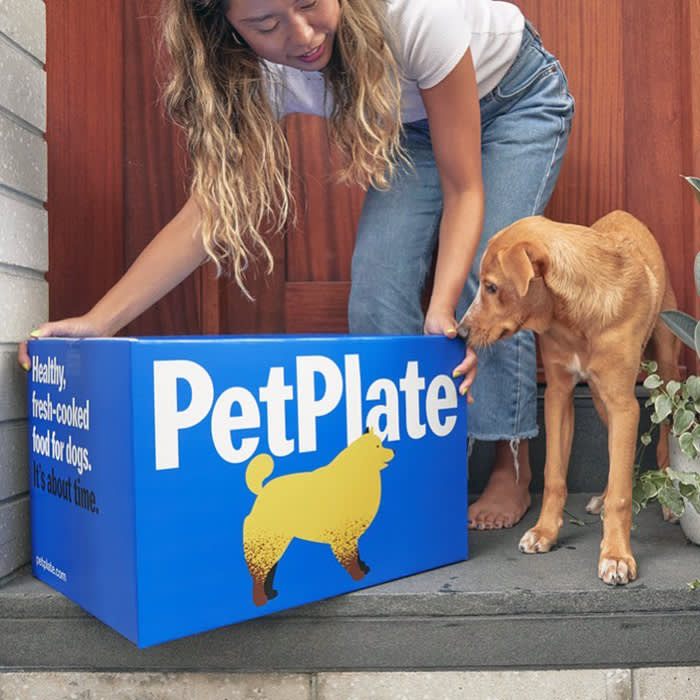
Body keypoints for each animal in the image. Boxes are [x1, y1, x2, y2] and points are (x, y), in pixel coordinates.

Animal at [456, 211, 680, 584]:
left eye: (491, 287)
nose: (460, 332)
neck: (574, 317)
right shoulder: (559, 395)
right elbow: (554, 475)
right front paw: (545, 532)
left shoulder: (624, 403)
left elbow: (623, 495)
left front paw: (616, 556)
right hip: (602, 401)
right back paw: (602, 497)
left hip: (664, 372)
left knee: (663, 439)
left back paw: (667, 498)